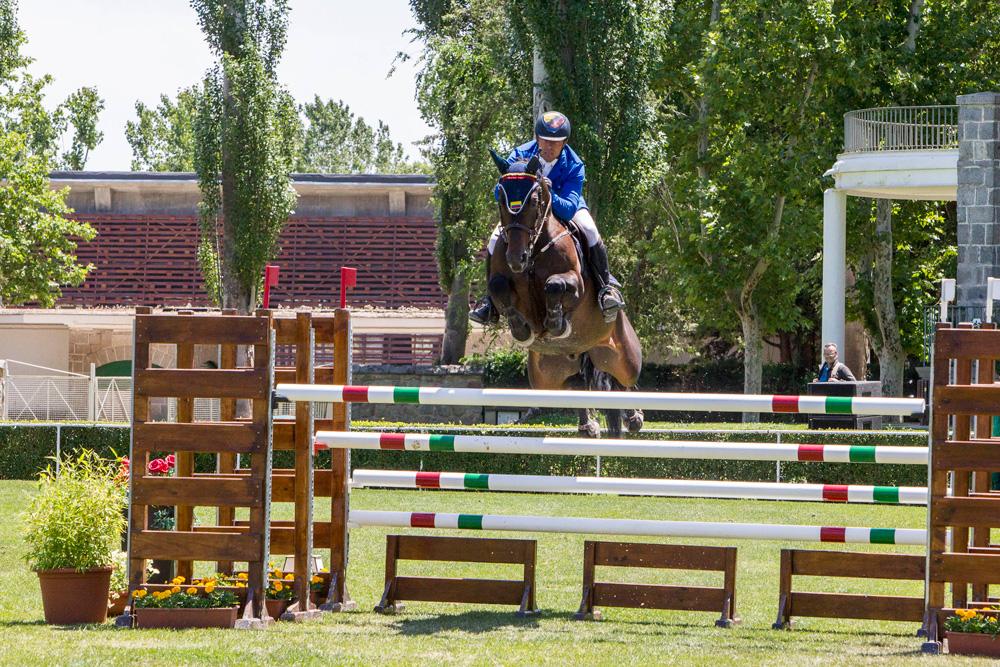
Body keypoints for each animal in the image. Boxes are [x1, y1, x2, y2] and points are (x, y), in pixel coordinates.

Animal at [488, 153, 644, 438]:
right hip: (546, 375)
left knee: (625, 380)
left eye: (534, 200)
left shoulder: (575, 284)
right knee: (579, 385)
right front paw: (521, 329)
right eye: (501, 199)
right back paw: (588, 426)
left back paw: (634, 416)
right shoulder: (502, 282)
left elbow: (554, 285)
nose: (517, 259)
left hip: (625, 355)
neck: (535, 248)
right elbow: (498, 287)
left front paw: (556, 323)